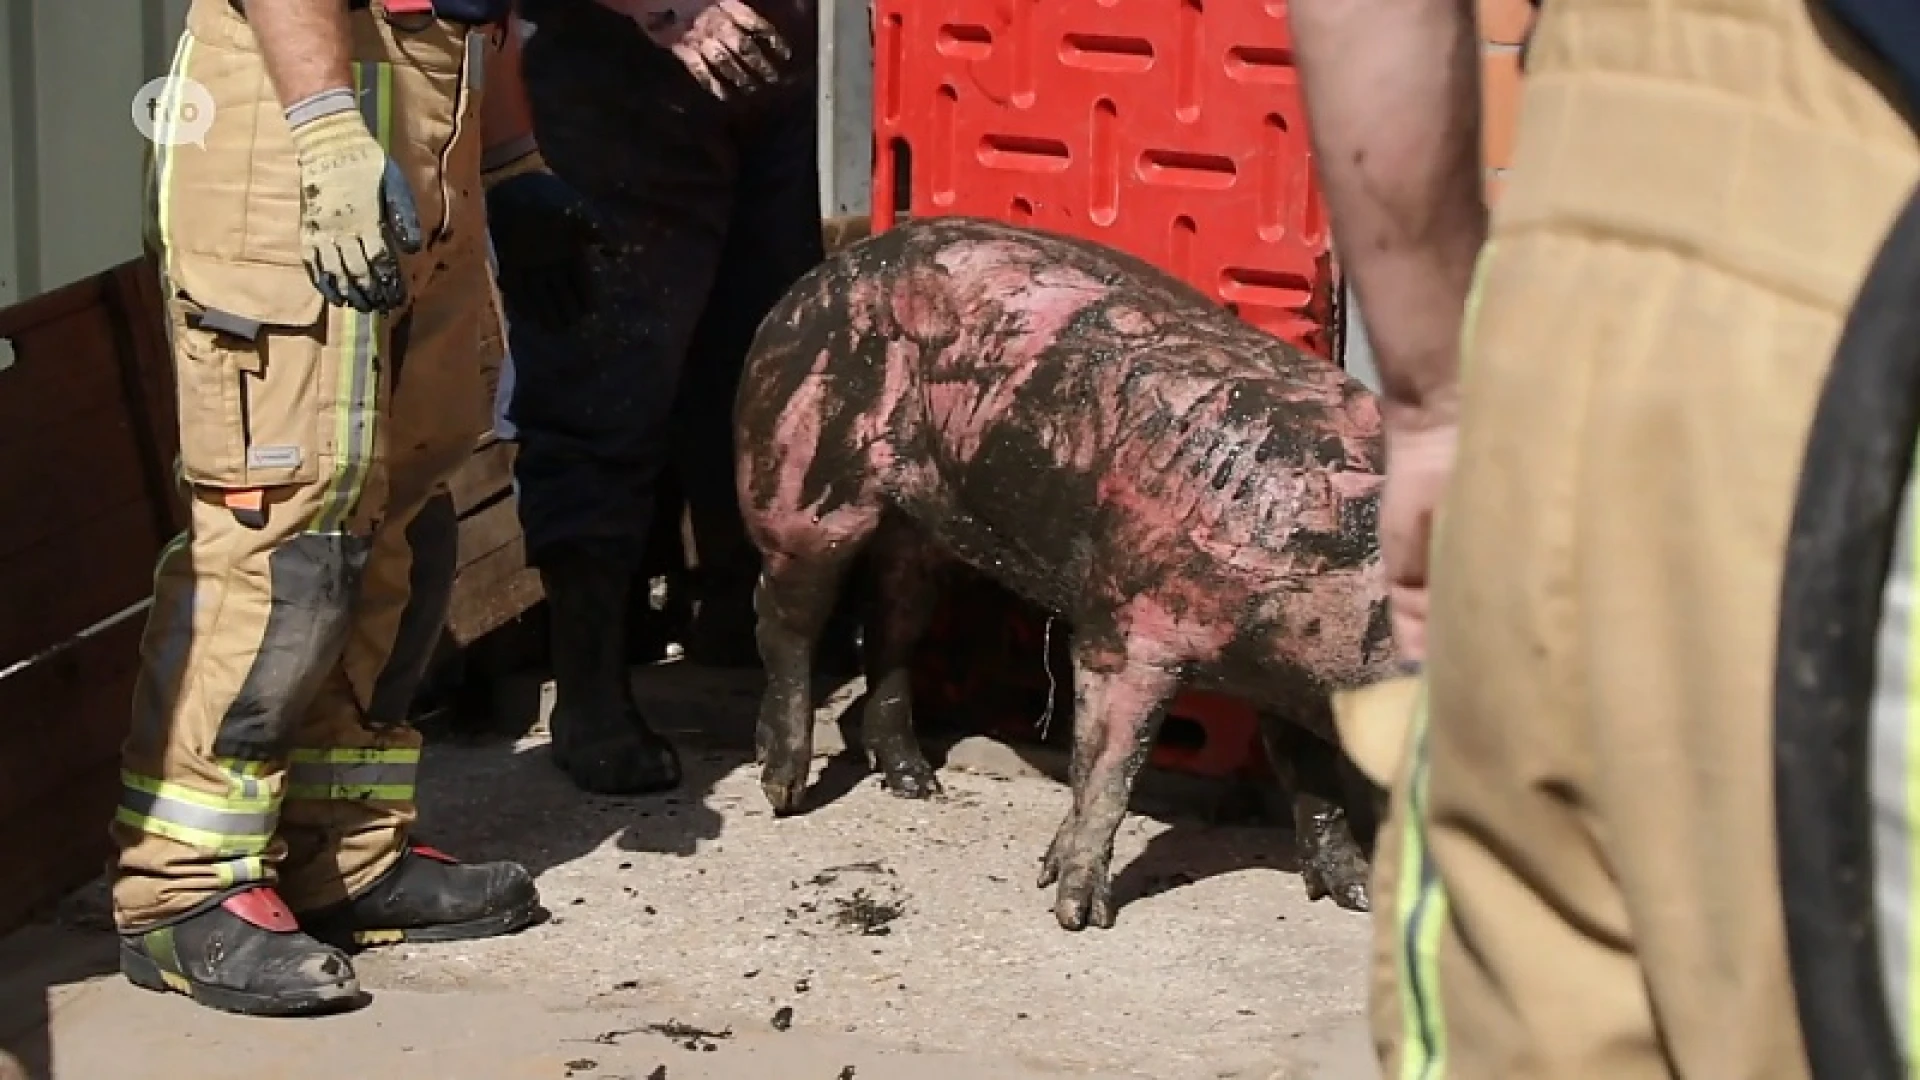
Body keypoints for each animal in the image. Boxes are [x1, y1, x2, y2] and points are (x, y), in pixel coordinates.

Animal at [733, 212, 1397, 926]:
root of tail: (820, 273)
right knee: (782, 617)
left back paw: (917, 785)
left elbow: (1311, 777)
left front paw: (1356, 894)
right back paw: (783, 790)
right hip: (800, 479)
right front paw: (1078, 914)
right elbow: (1108, 770)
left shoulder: (1286, 678)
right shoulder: (1123, 626)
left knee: (892, 626)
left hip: (918, 532)